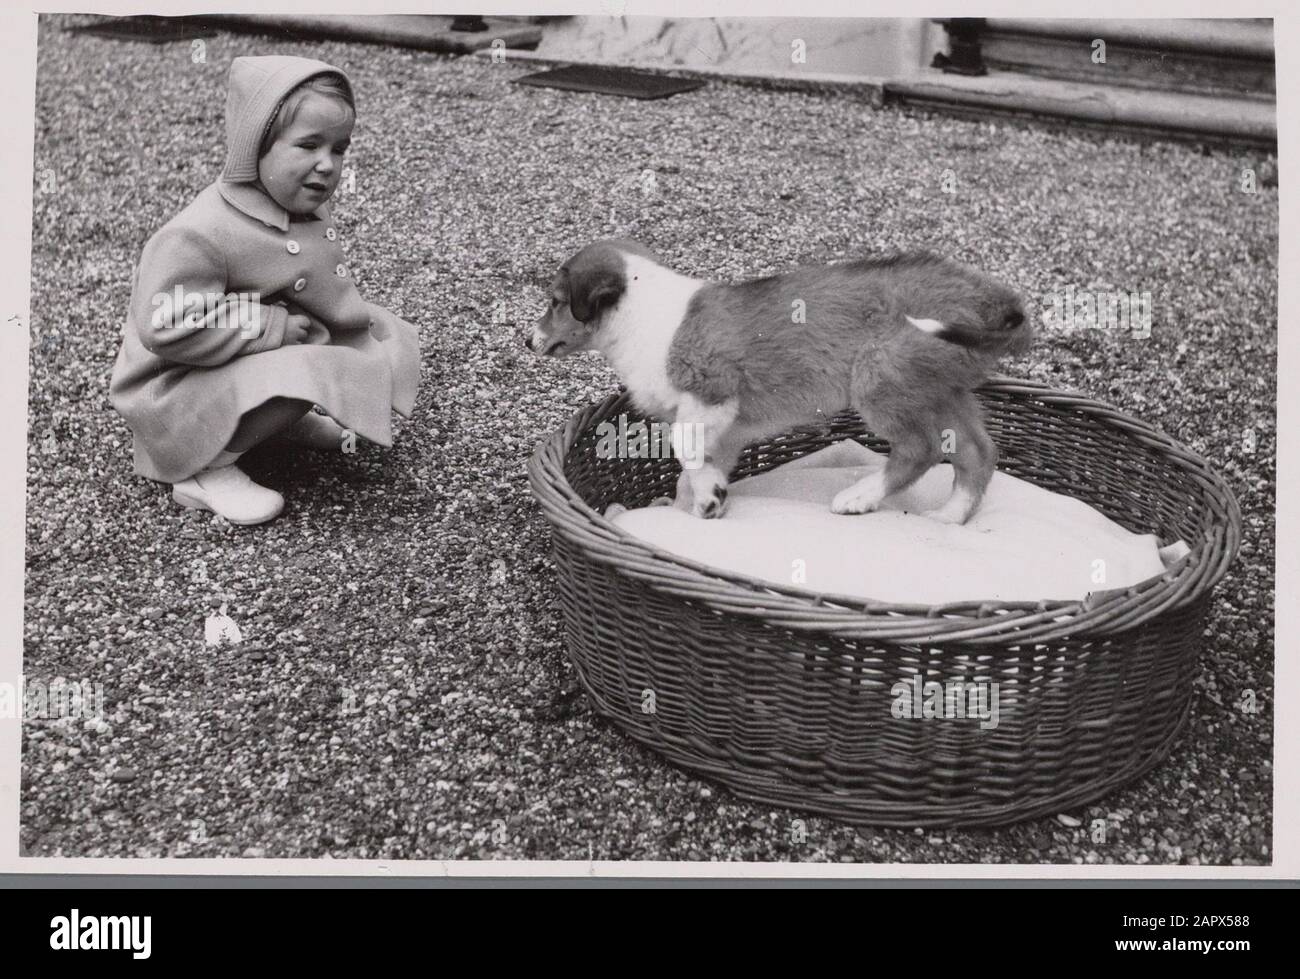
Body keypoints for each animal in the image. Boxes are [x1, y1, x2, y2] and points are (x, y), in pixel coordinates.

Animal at [525, 237, 1024, 522]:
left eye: (555, 301)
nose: (529, 340)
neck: (641, 317)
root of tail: (993, 299)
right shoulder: (723, 430)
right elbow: (692, 468)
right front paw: (694, 508)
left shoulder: (711, 393)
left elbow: (682, 447)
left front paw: (706, 499)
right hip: (941, 390)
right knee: (977, 453)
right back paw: (948, 519)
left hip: (881, 379)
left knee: (920, 449)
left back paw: (859, 498)